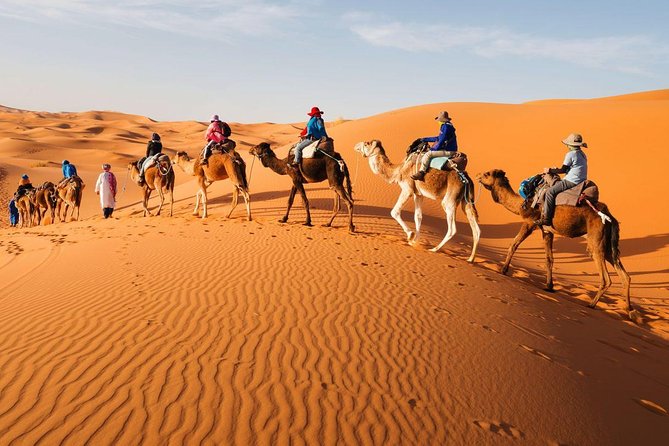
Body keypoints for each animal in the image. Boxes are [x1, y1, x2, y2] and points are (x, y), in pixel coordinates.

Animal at [476, 169, 633, 317]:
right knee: (624, 275)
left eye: (487, 174)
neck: (522, 204)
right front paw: (549, 286)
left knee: (605, 277)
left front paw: (503, 270)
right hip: (608, 244)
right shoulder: (547, 231)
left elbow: (513, 245)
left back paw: (591, 304)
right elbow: (549, 259)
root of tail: (611, 217)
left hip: (596, 239)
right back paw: (629, 311)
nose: (477, 175)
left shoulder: (530, 222)